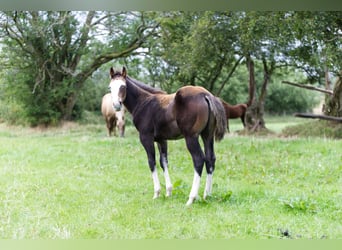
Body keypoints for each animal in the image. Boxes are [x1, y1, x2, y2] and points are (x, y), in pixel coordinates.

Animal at [108, 66, 227, 205]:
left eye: (123, 86)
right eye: (110, 87)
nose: (116, 105)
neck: (143, 102)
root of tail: (206, 95)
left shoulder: (146, 137)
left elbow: (151, 162)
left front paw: (157, 193)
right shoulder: (161, 139)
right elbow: (163, 162)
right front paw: (169, 192)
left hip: (191, 137)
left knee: (198, 159)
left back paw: (191, 198)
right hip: (207, 135)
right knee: (210, 159)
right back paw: (206, 195)